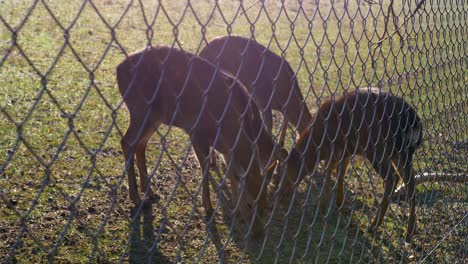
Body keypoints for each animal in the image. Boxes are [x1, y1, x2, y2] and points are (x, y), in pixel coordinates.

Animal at [116, 46, 278, 232]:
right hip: (140, 108)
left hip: (155, 116)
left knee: (140, 144)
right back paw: (136, 198)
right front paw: (208, 207)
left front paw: (233, 209)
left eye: (266, 204)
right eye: (250, 204)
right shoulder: (196, 132)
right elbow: (206, 167)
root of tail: (118, 70)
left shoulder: (226, 149)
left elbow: (231, 172)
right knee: (127, 142)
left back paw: (149, 192)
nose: (258, 233)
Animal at [276, 86, 422, 241]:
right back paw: (410, 230)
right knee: (410, 180)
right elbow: (341, 174)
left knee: (392, 178)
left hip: (377, 148)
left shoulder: (334, 148)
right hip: (402, 152)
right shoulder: (346, 151)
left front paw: (322, 209)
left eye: (283, 172)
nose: (281, 193)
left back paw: (374, 225)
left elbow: (329, 173)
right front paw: (338, 204)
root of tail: (414, 121)